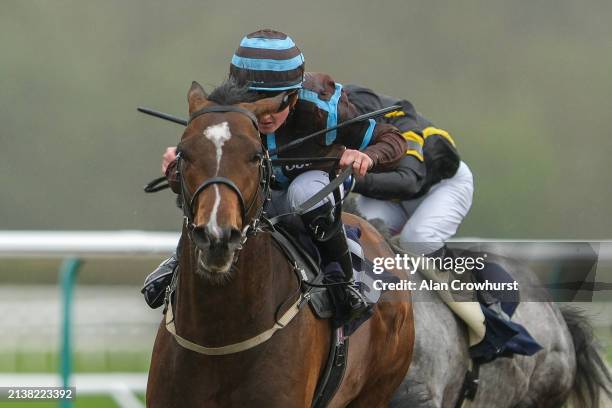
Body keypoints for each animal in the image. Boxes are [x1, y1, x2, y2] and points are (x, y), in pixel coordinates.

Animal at [147, 80, 416, 408]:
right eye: (183, 154)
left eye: (254, 155)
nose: (216, 237)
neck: (217, 338)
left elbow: (383, 134)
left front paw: (358, 158)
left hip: (376, 391)